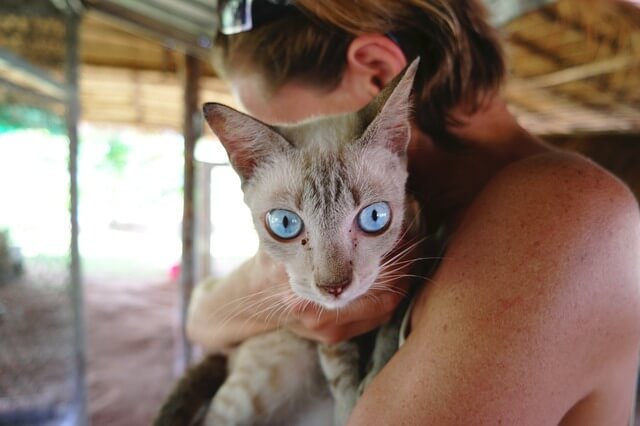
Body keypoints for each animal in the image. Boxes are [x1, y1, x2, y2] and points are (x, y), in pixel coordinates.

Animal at [155, 59, 424, 426]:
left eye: (374, 217)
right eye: (285, 224)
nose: (333, 287)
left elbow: (391, 326)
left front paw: (375, 370)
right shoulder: (329, 334)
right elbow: (341, 375)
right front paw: (350, 407)